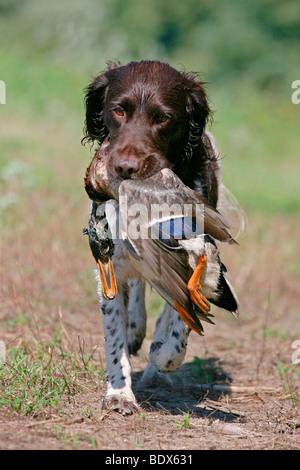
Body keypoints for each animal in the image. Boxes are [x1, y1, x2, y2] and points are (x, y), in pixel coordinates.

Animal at [83, 59, 226, 414]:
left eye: (163, 118)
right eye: (119, 110)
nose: (125, 168)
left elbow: (180, 317)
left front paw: (163, 354)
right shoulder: (109, 260)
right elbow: (115, 334)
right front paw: (119, 393)